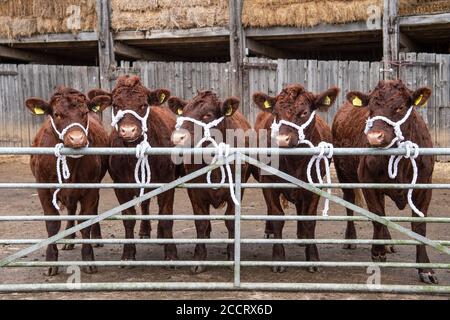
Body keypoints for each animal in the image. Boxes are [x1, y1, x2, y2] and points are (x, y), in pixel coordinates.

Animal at [26, 87, 110, 276]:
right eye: (57, 114)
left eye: (84, 113)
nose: (77, 139)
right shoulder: (43, 189)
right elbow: (52, 224)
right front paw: (51, 261)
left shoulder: (90, 189)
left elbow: (85, 221)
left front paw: (88, 259)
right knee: (71, 210)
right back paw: (69, 238)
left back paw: (96, 237)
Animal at [88, 76, 179, 264]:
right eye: (116, 105)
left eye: (143, 105)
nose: (128, 130)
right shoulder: (121, 185)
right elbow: (129, 218)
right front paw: (128, 253)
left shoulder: (168, 182)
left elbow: (166, 216)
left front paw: (171, 253)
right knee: (145, 203)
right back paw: (144, 231)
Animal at [169, 90, 253, 272]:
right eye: (183, 113)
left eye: (207, 114)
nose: (179, 138)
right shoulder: (195, 191)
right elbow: (201, 222)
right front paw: (199, 258)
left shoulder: (236, 190)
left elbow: (230, 222)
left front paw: (232, 255)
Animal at [251, 83, 340, 272]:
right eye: (276, 113)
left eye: (304, 112)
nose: (282, 140)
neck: (295, 161)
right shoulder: (268, 183)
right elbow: (277, 216)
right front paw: (278, 259)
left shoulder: (315, 185)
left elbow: (309, 219)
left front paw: (313, 258)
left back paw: (302, 237)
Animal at [332, 80, 438, 284]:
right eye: (371, 109)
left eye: (400, 107)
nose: (375, 137)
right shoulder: (368, 182)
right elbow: (377, 215)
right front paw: (378, 252)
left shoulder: (424, 186)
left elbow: (419, 226)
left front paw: (426, 269)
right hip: (344, 174)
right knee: (349, 201)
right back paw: (351, 239)